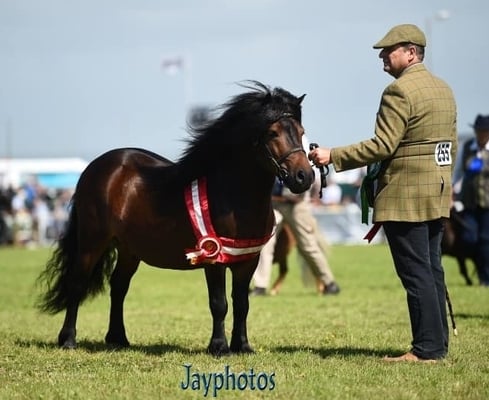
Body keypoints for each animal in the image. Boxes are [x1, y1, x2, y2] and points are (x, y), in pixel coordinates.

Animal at [37, 79, 312, 354]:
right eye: (273, 133)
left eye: (301, 132)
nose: (304, 177)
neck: (233, 195)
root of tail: (95, 167)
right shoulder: (214, 259)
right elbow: (219, 303)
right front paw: (219, 347)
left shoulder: (248, 260)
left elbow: (242, 304)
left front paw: (242, 346)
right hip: (92, 242)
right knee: (77, 283)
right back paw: (68, 339)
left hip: (128, 250)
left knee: (119, 287)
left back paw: (118, 339)